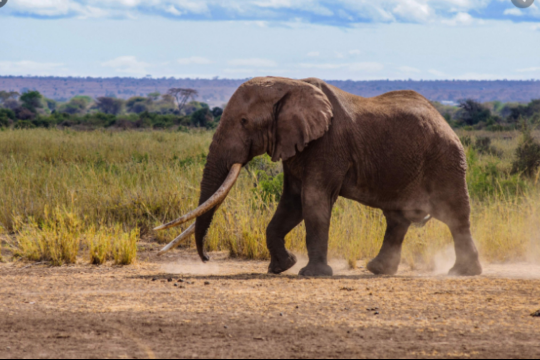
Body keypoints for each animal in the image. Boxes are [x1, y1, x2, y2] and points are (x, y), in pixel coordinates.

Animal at [154, 76, 484, 278]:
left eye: (244, 121)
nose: (207, 259)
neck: (288, 84)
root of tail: (445, 121)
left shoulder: (327, 145)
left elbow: (313, 202)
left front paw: (310, 274)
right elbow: (291, 204)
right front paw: (282, 267)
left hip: (446, 160)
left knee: (455, 215)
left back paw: (463, 273)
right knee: (397, 218)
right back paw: (378, 270)